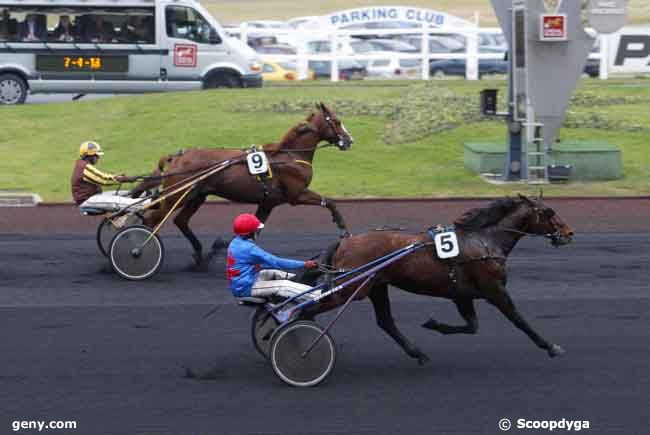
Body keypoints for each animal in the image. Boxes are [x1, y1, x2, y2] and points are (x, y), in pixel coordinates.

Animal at [131, 103, 352, 266]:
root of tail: (176, 157)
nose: (349, 140)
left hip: (196, 195)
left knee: (180, 221)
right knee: (152, 219)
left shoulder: (268, 203)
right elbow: (329, 201)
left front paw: (220, 245)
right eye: (337, 121)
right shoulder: (297, 194)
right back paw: (138, 250)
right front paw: (343, 228)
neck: (290, 156)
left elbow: (255, 227)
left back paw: (199, 254)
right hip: (178, 195)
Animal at [304, 196, 572, 366]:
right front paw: (550, 346)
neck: (484, 241)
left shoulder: (462, 295)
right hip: (351, 288)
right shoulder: (494, 289)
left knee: (386, 322)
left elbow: (472, 326)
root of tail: (345, 241)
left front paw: (434, 324)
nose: (568, 233)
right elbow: (519, 320)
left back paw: (418, 353)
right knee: (311, 308)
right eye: (548, 212)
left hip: (376, 286)